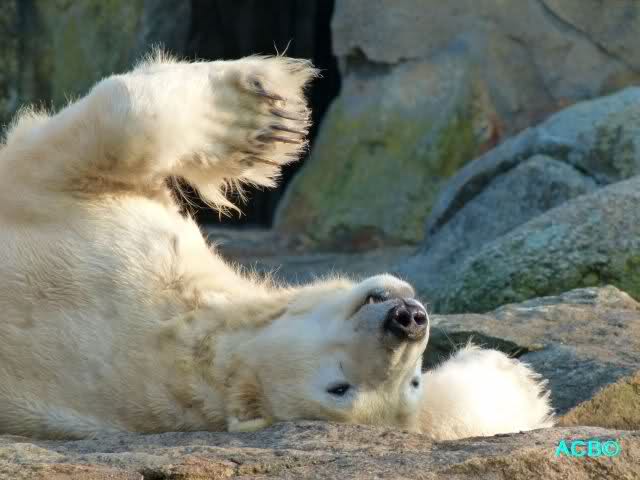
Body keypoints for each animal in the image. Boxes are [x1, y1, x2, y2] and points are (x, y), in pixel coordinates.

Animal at [0, 52, 553, 440]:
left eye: (409, 382)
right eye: (338, 385)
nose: (406, 321)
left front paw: (512, 379)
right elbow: (125, 123)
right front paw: (263, 118)